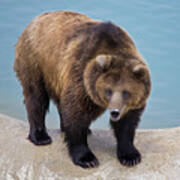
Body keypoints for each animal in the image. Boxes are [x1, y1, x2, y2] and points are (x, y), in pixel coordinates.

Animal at [14, 10, 151, 169]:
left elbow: (127, 123)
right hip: (35, 60)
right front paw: (87, 158)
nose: (115, 112)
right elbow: (75, 113)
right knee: (36, 96)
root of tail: (36, 19)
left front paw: (130, 156)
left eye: (126, 92)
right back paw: (41, 137)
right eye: (108, 91)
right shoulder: (81, 76)